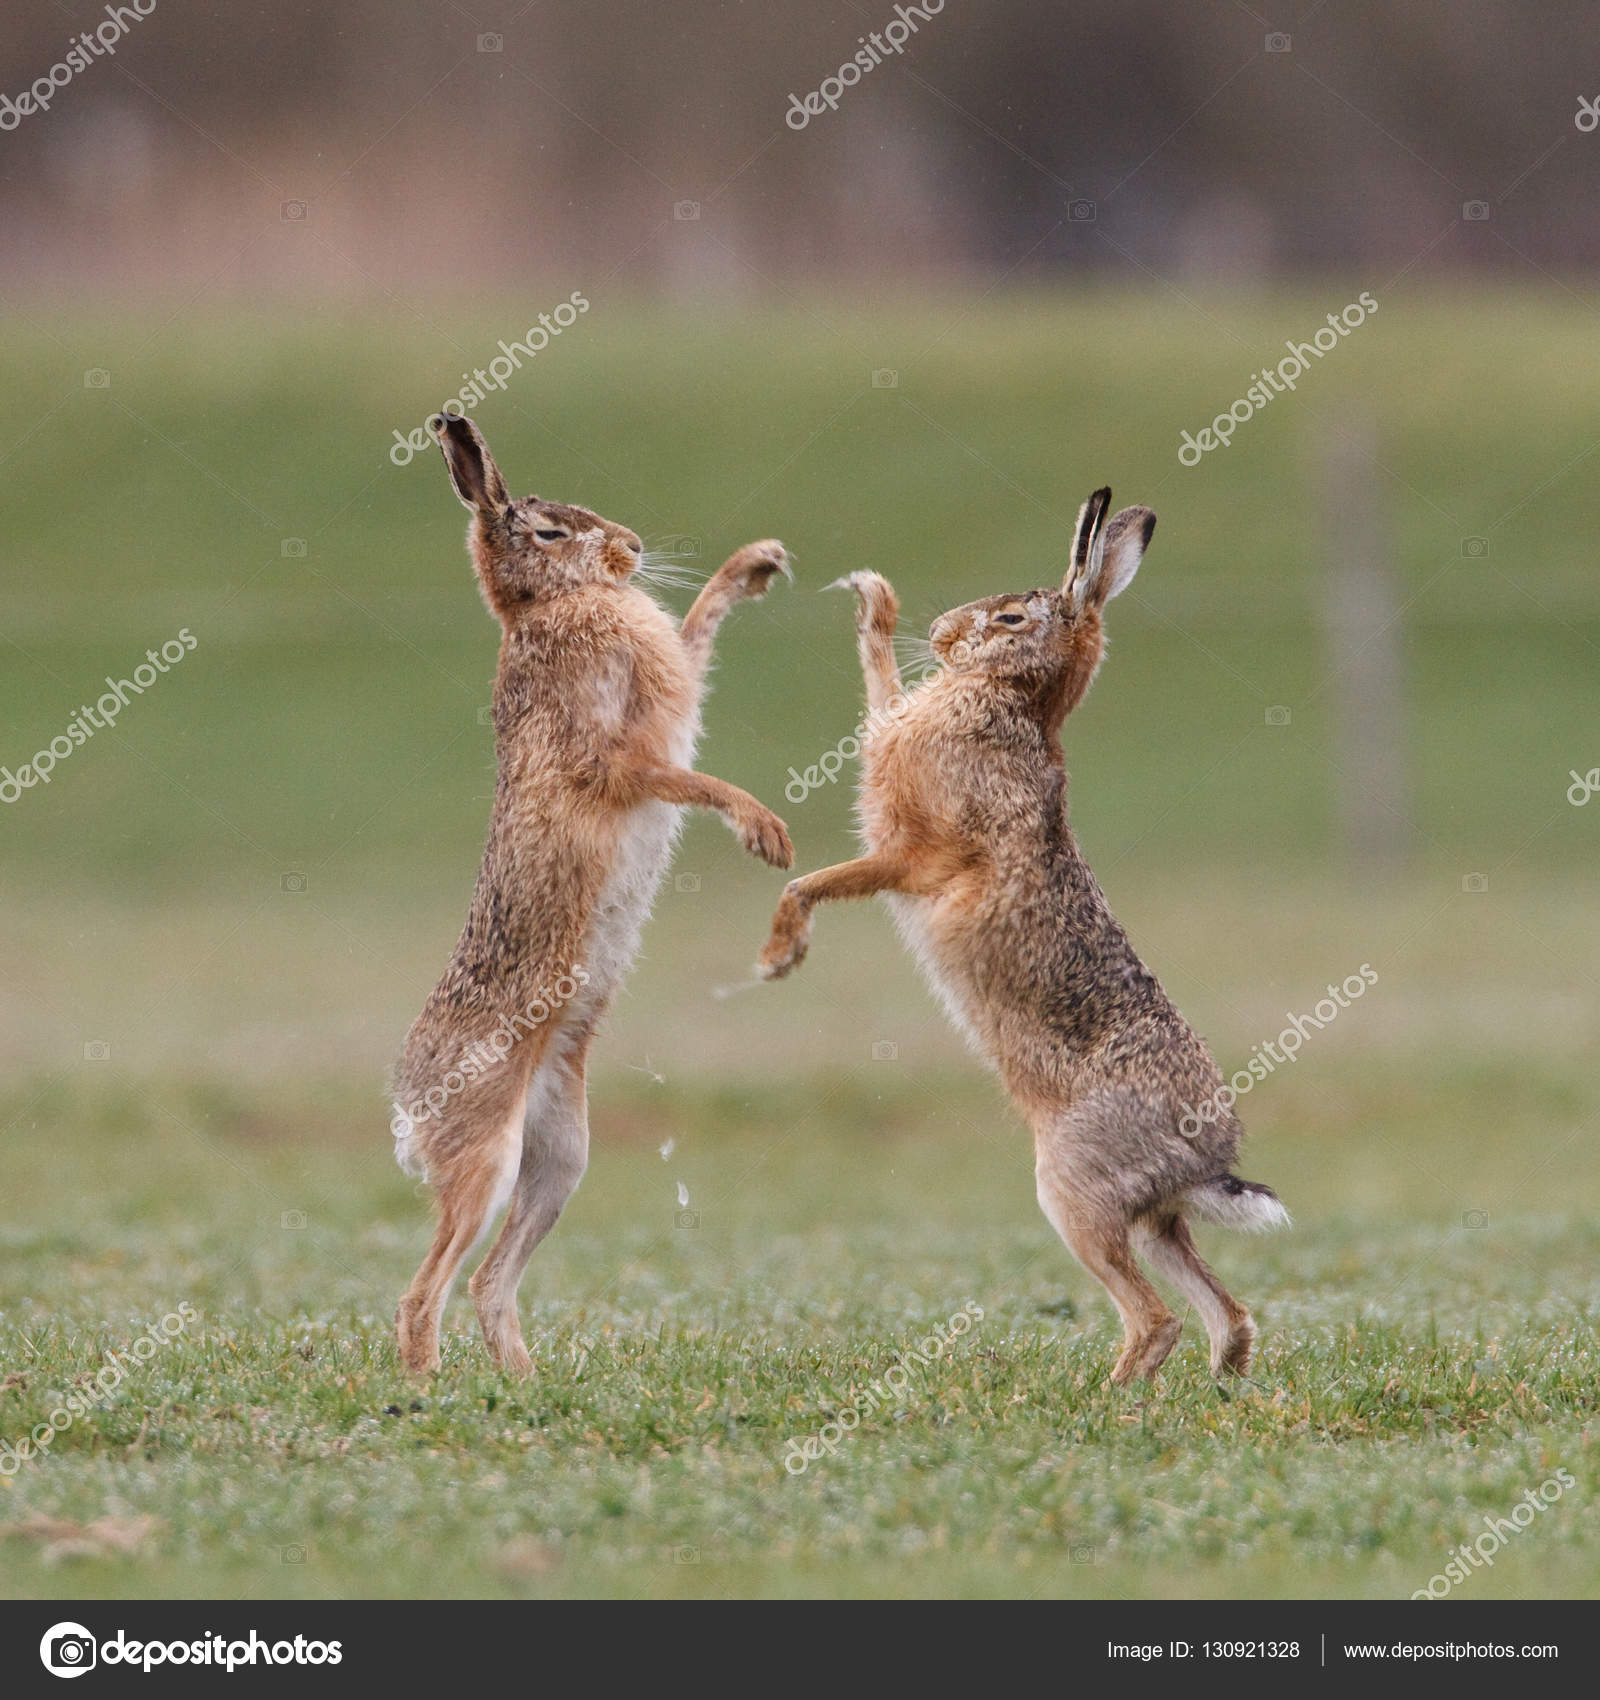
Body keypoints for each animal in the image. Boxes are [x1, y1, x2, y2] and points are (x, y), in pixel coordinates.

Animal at [393, 413, 793, 1376]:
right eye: (548, 532)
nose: (633, 548)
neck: (550, 607)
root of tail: (405, 1105)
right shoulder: (610, 757)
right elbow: (684, 778)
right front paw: (765, 830)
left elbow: (698, 628)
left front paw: (756, 564)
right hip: (486, 1158)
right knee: (424, 1292)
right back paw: (428, 1387)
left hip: (562, 1156)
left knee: (489, 1282)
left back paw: (524, 1384)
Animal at [757, 488, 1287, 1385]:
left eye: (1009, 618)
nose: (944, 633)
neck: (1016, 702)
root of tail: (1205, 1160)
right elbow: (882, 689)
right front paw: (873, 599)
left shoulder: (913, 856)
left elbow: (818, 879)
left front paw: (778, 952)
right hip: (1150, 1219)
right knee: (1225, 1311)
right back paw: (1221, 1384)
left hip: (1072, 1189)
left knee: (1154, 1321)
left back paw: (1105, 1394)